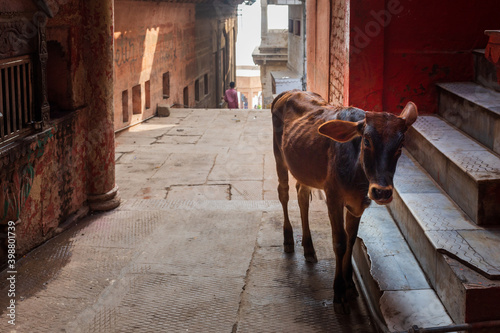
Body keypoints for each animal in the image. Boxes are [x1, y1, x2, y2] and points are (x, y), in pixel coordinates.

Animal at [272, 89, 416, 312]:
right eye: (366, 141)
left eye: (400, 145)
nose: (381, 192)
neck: (358, 177)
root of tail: (288, 92)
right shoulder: (333, 197)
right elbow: (339, 242)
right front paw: (338, 291)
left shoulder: (358, 204)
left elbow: (351, 239)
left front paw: (350, 284)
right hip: (279, 156)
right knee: (284, 193)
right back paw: (288, 239)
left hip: (304, 169)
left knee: (302, 195)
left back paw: (309, 248)